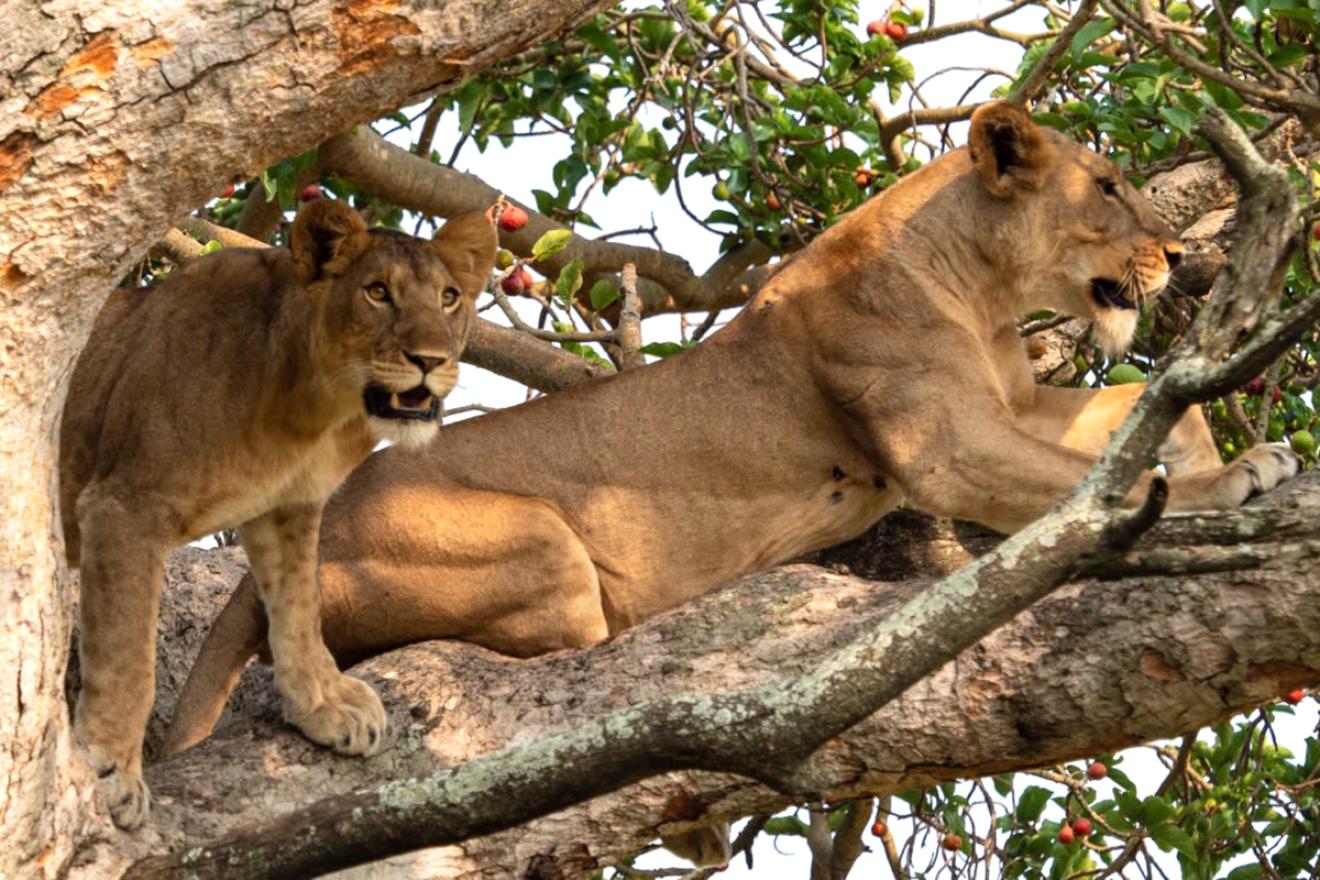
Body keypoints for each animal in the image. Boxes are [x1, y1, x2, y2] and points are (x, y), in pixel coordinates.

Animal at [59, 199, 496, 829]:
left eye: (448, 297)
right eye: (377, 292)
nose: (430, 360)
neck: (314, 406)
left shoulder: (291, 507)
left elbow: (298, 610)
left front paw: (325, 706)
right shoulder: (124, 506)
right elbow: (128, 659)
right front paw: (111, 770)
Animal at [164, 103, 1296, 862]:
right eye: (1106, 187)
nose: (1177, 253)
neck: (978, 284)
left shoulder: (1013, 406)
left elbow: (1153, 405)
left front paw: (1236, 449)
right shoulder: (947, 443)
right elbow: (1096, 481)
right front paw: (1232, 482)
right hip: (542, 551)